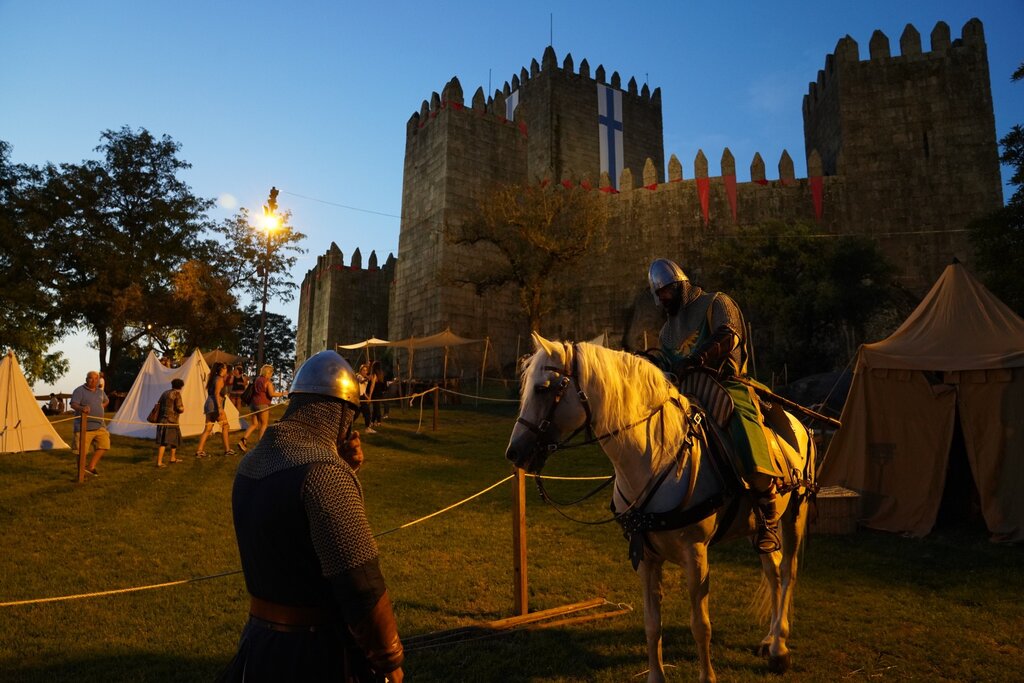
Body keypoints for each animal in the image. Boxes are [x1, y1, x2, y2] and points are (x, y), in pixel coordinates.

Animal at [503, 333, 815, 679]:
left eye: (543, 388)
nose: (514, 453)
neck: (657, 457)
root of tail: (798, 424)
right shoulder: (646, 557)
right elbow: (652, 625)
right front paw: (656, 674)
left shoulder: (696, 554)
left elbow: (700, 626)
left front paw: (708, 676)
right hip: (756, 528)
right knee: (772, 570)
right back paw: (770, 638)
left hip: (795, 513)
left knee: (787, 572)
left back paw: (779, 649)